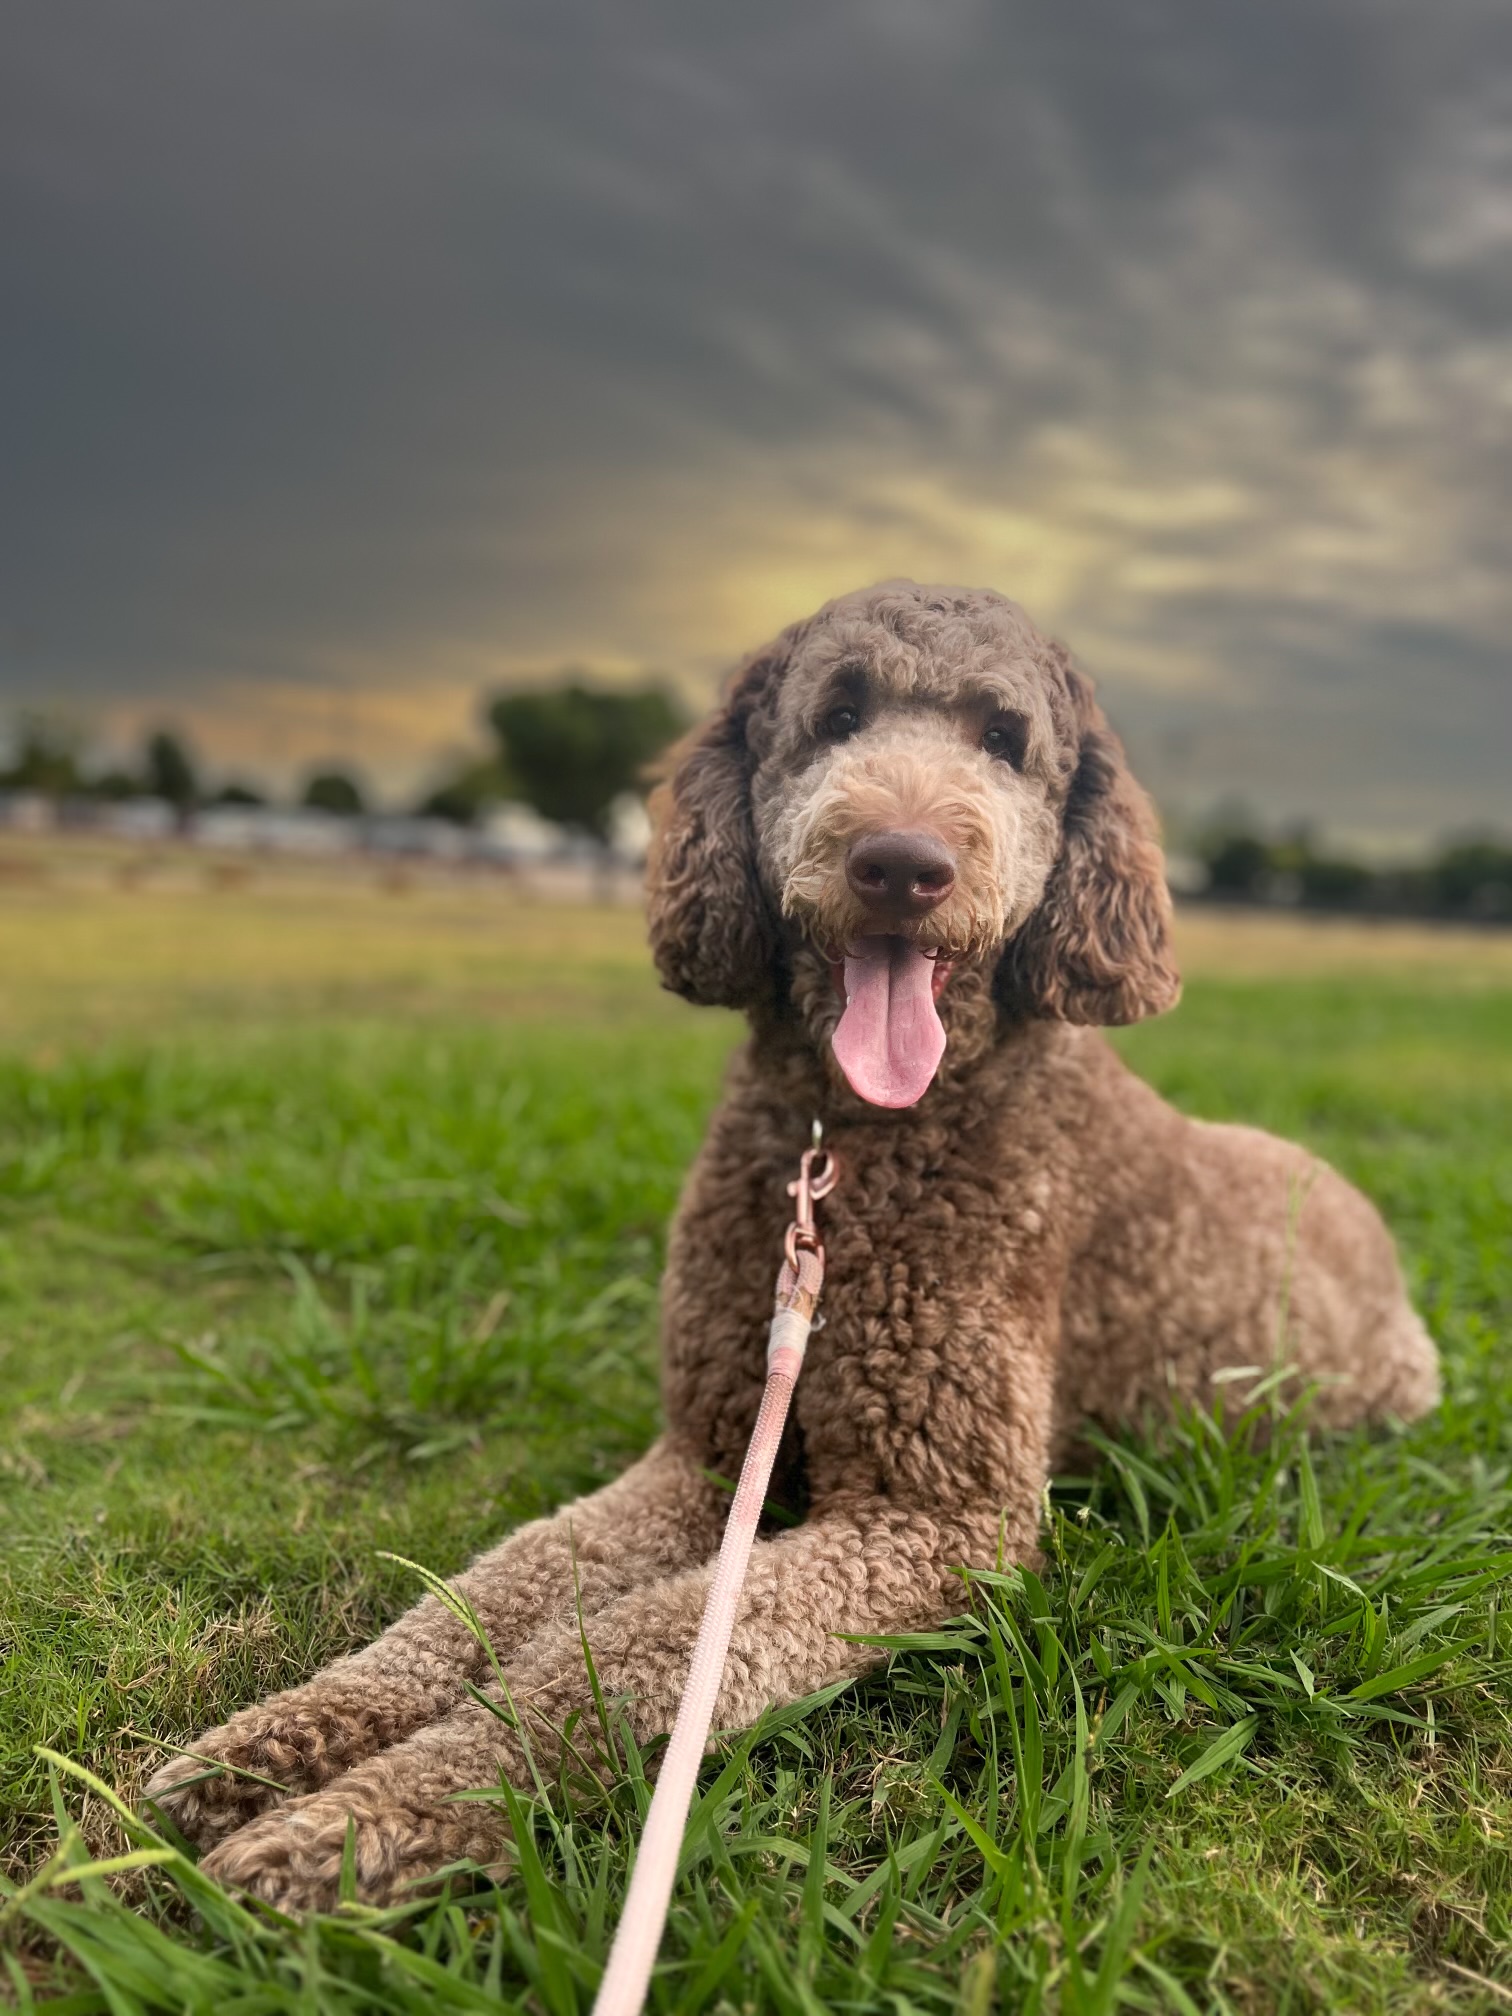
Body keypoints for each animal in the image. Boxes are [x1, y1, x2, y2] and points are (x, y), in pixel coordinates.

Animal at [145, 580, 1443, 1903]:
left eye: (1004, 738)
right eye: (838, 715)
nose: (902, 863)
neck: (854, 1137)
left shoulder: (934, 1516)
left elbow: (630, 1656)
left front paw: (358, 1821)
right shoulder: (708, 1455)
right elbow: (484, 1595)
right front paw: (279, 1741)